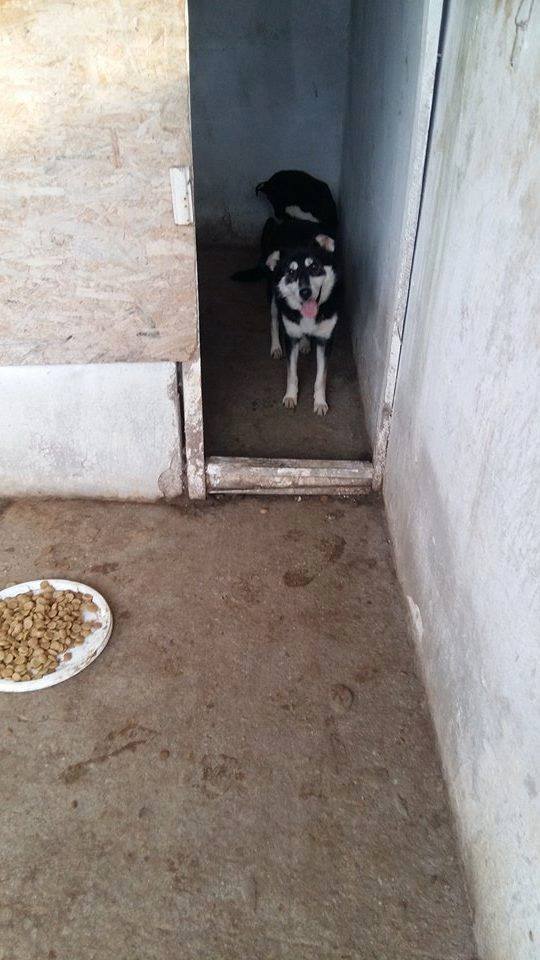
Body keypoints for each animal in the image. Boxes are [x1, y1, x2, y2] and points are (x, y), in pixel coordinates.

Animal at [233, 172, 342, 416]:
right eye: (291, 272)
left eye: (315, 267)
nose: (305, 292)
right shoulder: (290, 334)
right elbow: (291, 373)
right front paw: (291, 396)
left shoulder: (326, 339)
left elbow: (321, 377)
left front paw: (320, 402)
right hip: (273, 298)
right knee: (274, 321)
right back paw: (276, 347)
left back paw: (306, 344)